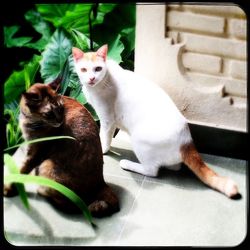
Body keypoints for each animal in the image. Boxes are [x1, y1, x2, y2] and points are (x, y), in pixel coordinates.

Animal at [3, 80, 119, 217]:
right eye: (49, 113)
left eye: (60, 108)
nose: (60, 120)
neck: (31, 120)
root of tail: (101, 182)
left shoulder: (35, 153)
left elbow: (21, 170)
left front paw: (9, 188)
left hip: (47, 165)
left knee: (74, 205)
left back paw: (42, 190)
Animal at [72, 44, 238, 198]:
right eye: (84, 70)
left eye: (98, 69)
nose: (91, 78)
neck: (103, 80)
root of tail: (186, 141)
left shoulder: (107, 119)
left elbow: (104, 139)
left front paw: (102, 150)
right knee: (174, 166)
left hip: (138, 140)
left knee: (152, 171)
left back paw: (128, 164)